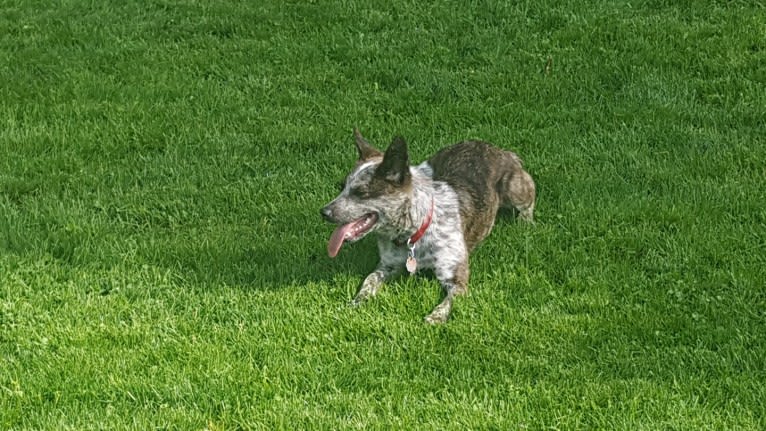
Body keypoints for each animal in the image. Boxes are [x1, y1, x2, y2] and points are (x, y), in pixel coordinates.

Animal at [320, 129, 536, 324]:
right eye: (342, 187)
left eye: (361, 193)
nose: (324, 212)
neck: (414, 232)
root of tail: (501, 151)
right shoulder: (387, 266)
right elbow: (369, 280)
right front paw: (356, 302)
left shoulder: (456, 279)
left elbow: (447, 302)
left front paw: (435, 318)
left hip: (514, 188)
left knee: (530, 195)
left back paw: (525, 221)